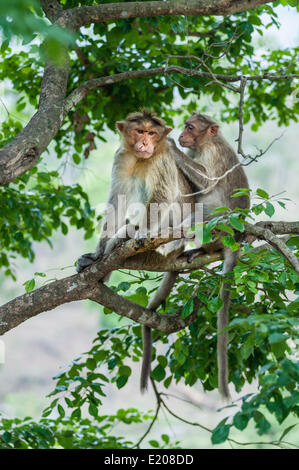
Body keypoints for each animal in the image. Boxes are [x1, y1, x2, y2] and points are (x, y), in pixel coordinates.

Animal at [173, 112, 251, 398]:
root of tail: (234, 239)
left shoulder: (213, 154)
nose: (180, 135)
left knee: (205, 210)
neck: (205, 143)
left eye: (191, 127)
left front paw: (169, 146)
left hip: (220, 228)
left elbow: (207, 182)